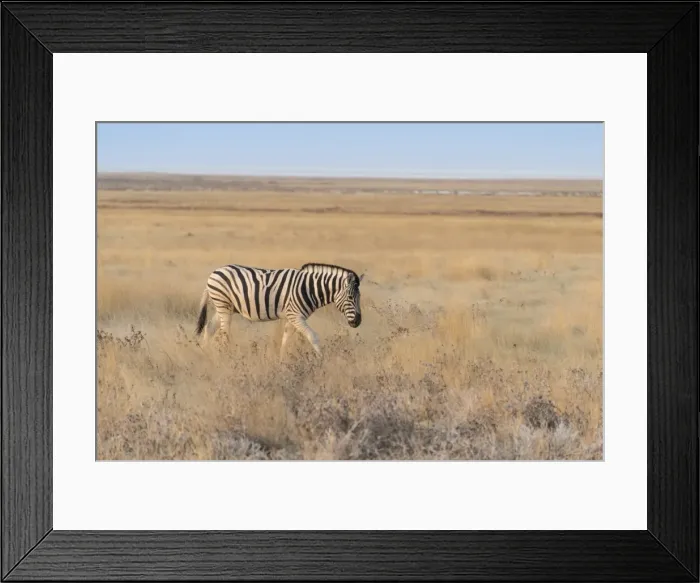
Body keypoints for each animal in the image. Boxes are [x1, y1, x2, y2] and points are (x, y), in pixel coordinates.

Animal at [195, 262, 363, 357]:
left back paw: (204, 353)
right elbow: (313, 336)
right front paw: (322, 359)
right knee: (224, 334)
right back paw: (226, 356)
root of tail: (213, 273)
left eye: (359, 297)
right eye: (350, 297)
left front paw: (282, 361)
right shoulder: (295, 315)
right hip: (223, 304)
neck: (309, 288)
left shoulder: (292, 317)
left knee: (209, 328)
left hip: (225, 307)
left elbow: (285, 339)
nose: (358, 322)